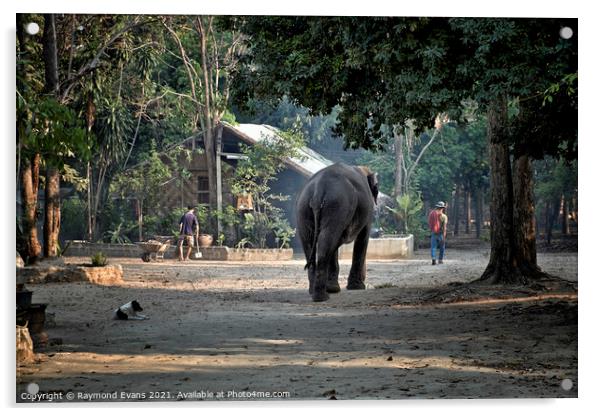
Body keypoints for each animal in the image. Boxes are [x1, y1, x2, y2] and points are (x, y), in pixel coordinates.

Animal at [294, 162, 378, 302]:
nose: (364, 277)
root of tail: (319, 188)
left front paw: (334, 287)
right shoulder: (368, 211)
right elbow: (363, 237)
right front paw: (357, 287)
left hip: (303, 207)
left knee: (312, 241)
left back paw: (316, 292)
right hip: (337, 204)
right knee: (327, 239)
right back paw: (322, 297)